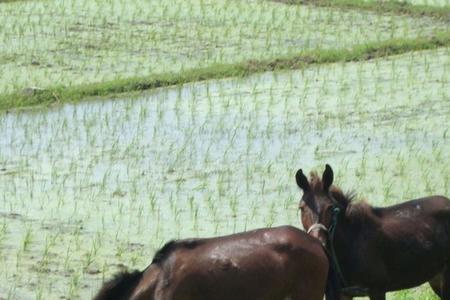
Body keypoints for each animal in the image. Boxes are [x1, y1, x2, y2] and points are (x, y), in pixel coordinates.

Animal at [296, 164, 450, 300]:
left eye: (330, 207)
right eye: (301, 207)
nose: (318, 242)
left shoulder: (378, 288)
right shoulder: (340, 293)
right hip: (436, 276)